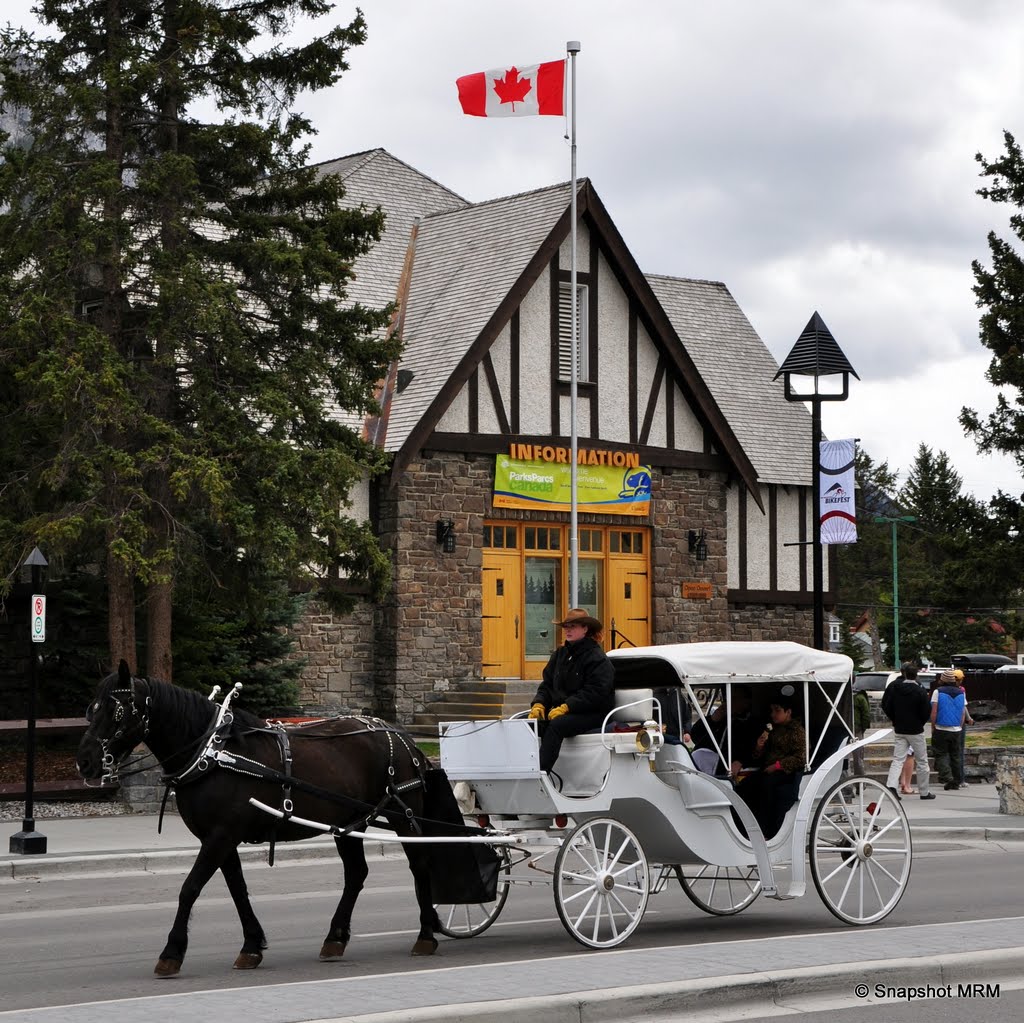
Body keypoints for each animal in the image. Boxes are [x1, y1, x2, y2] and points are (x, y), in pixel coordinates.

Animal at [78, 659, 460, 978]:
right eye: (91, 708)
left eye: (115, 711)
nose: (85, 761)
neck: (214, 755)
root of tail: (402, 737)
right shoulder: (219, 838)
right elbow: (238, 890)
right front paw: (251, 945)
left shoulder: (220, 836)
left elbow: (190, 888)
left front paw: (172, 952)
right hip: (349, 822)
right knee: (356, 874)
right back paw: (335, 937)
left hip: (403, 815)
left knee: (420, 865)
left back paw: (426, 934)